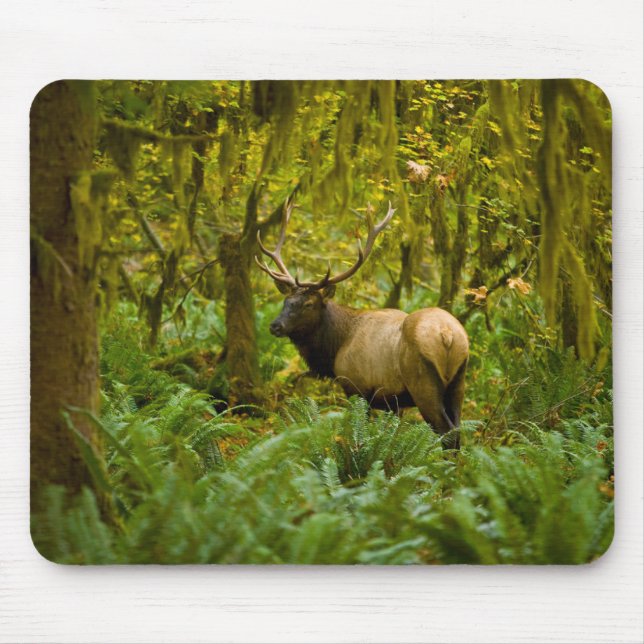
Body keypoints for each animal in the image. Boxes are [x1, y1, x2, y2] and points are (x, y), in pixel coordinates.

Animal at [255, 200, 469, 448]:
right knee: (458, 430)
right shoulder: (392, 402)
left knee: (447, 431)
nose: (275, 326)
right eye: (286, 300)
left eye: (308, 304)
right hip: (458, 381)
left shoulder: (356, 387)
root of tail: (448, 335)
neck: (336, 347)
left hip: (423, 382)